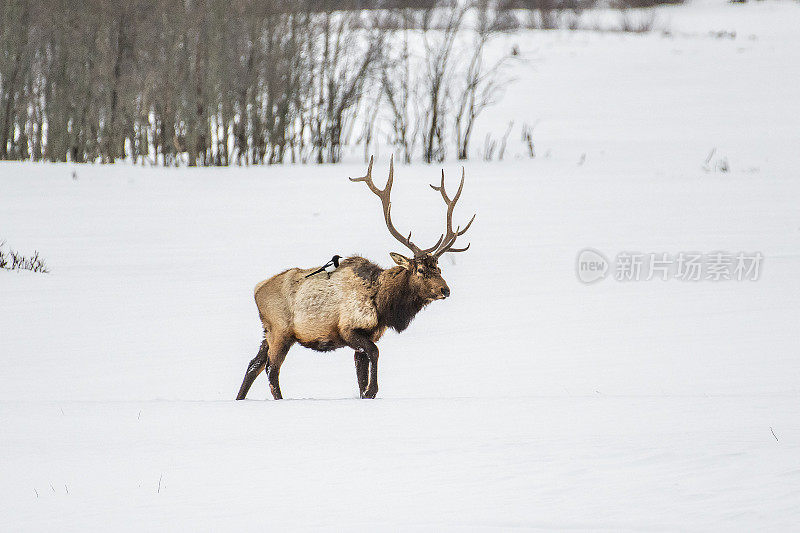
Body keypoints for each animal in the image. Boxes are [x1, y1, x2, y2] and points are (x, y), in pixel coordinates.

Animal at [236, 157, 476, 400]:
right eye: (419, 270)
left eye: (439, 268)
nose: (445, 290)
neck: (384, 304)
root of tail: (257, 290)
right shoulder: (349, 329)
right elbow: (374, 353)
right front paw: (372, 390)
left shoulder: (367, 335)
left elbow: (361, 371)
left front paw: (365, 392)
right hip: (280, 331)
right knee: (271, 369)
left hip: (267, 331)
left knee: (254, 365)